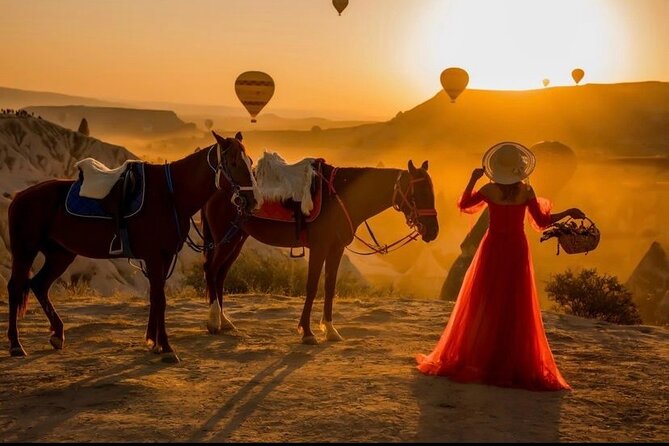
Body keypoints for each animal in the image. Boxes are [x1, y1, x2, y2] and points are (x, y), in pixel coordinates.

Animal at [6, 131, 258, 360]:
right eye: (234, 163)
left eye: (251, 161)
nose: (253, 201)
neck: (171, 194)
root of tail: (20, 196)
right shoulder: (155, 257)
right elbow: (160, 299)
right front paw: (166, 347)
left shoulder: (165, 257)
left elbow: (155, 297)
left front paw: (154, 343)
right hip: (25, 251)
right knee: (16, 287)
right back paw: (16, 345)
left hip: (60, 254)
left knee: (39, 285)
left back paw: (57, 335)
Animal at [200, 160, 438, 344]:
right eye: (420, 193)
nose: (433, 231)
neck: (340, 197)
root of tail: (216, 190)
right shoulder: (319, 247)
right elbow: (312, 287)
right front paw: (307, 332)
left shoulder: (335, 249)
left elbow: (330, 287)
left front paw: (330, 330)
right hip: (225, 240)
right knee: (211, 270)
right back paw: (213, 322)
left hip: (236, 238)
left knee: (220, 274)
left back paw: (224, 320)